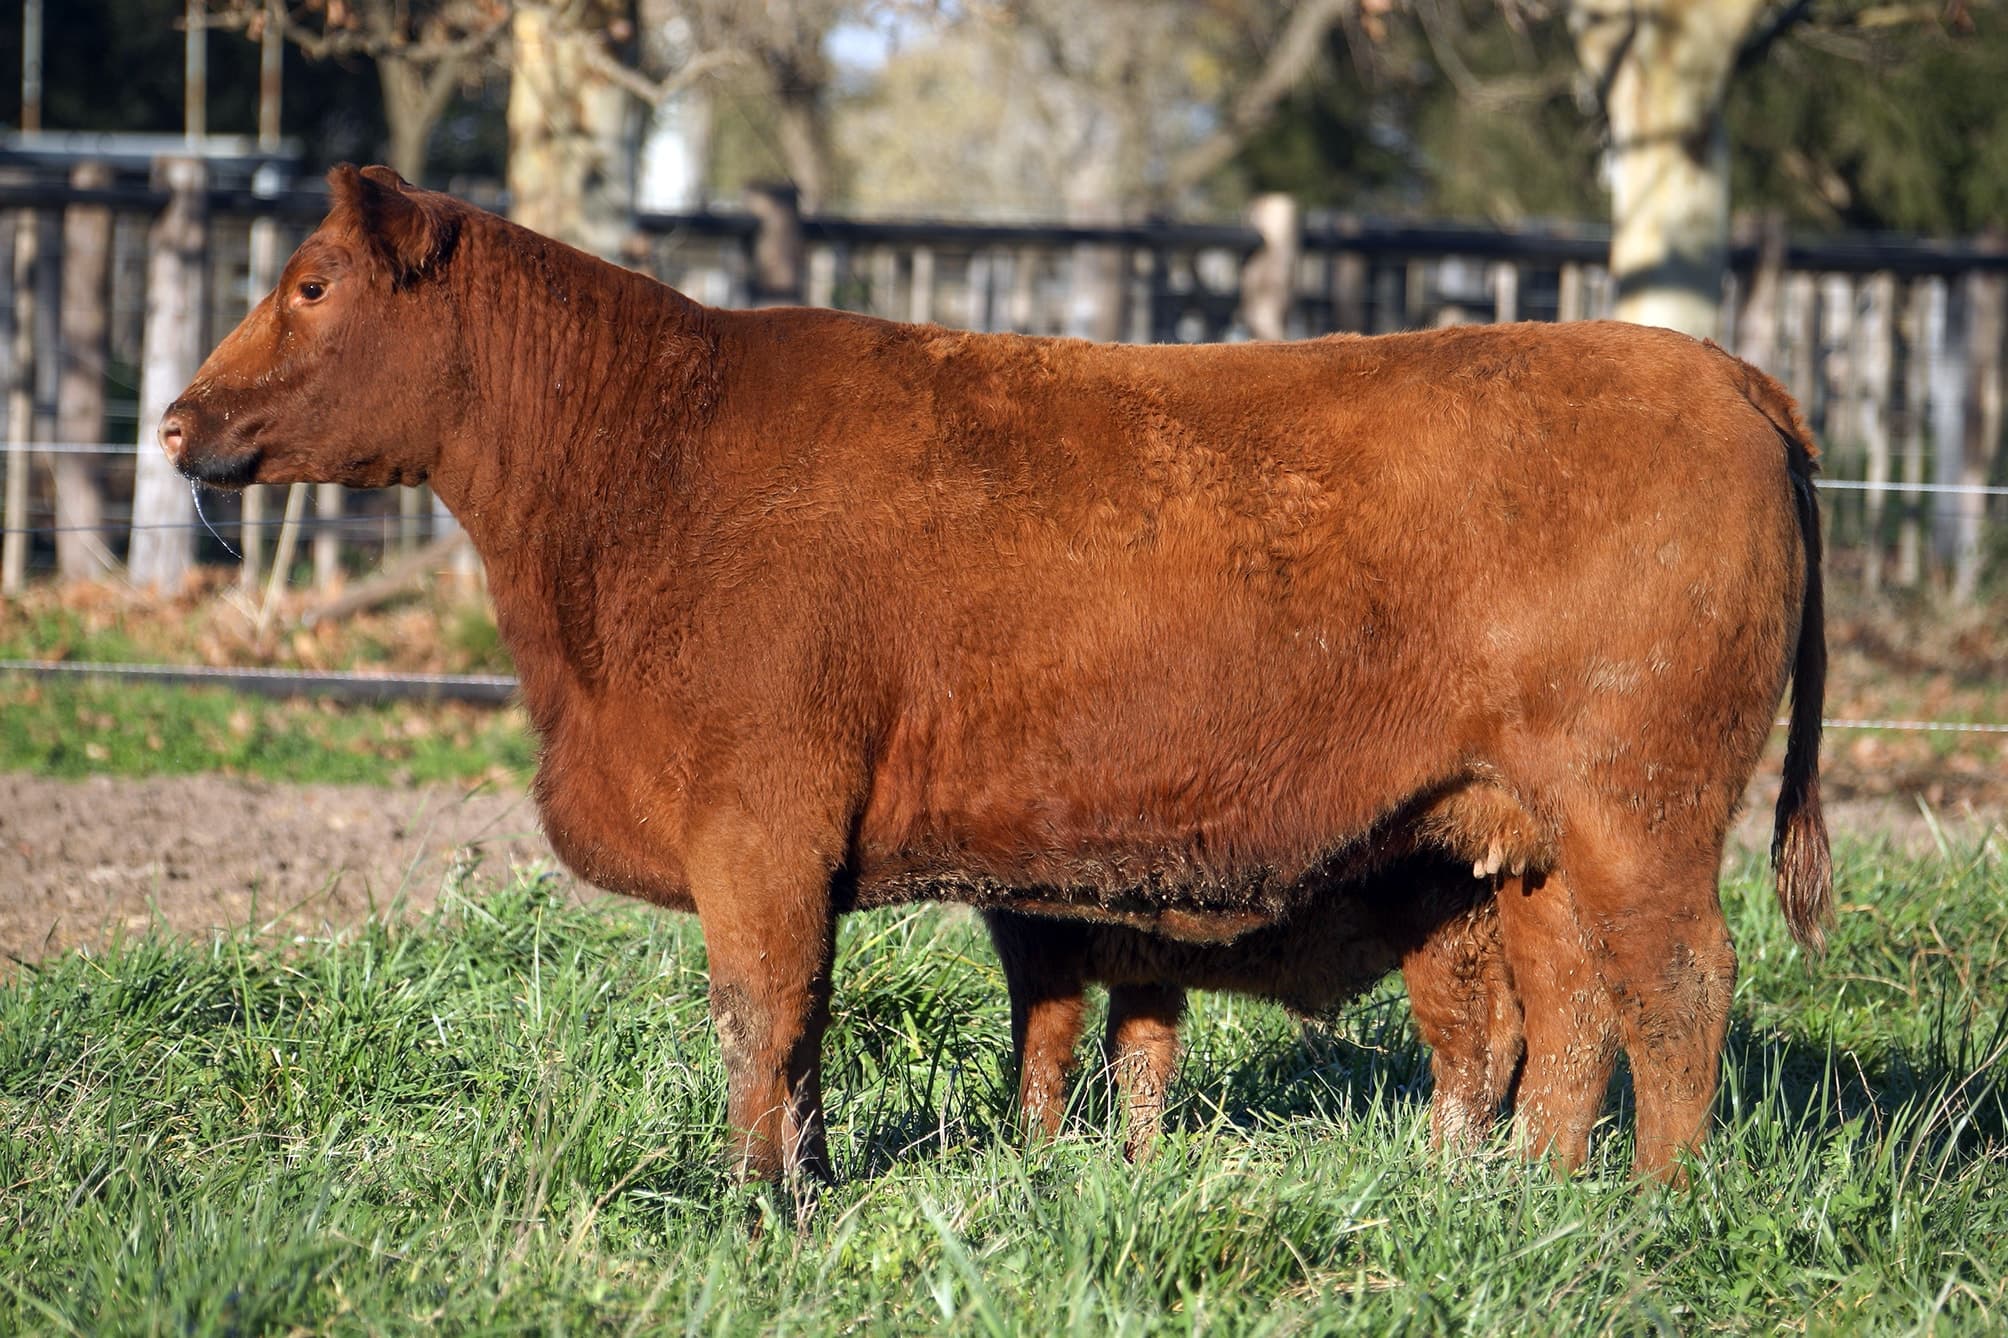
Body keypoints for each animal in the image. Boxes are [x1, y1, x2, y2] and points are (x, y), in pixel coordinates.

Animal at [160, 166, 1830, 1191]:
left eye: (311, 287)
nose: (175, 420)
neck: (646, 466)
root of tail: (1721, 369)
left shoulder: (761, 827)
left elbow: (764, 1019)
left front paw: (763, 1205)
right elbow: (837, 1033)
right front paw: (817, 1183)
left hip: (1638, 805)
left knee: (1678, 990)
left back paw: (1649, 1205)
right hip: (1513, 831)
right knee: (1569, 1010)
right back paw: (1526, 1194)